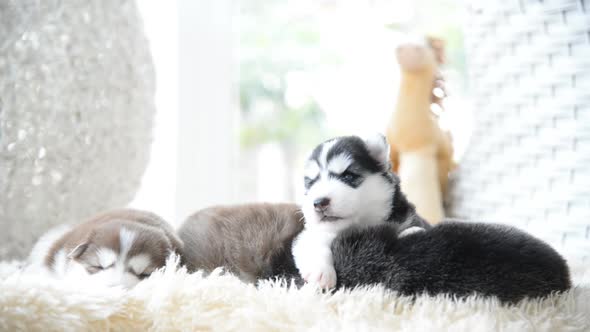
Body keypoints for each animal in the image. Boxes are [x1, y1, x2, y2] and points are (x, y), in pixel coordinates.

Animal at [294, 134, 430, 290]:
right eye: (310, 183)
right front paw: (321, 272)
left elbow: (410, 229)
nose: (319, 202)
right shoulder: (310, 234)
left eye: (348, 176)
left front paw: (410, 231)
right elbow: (314, 240)